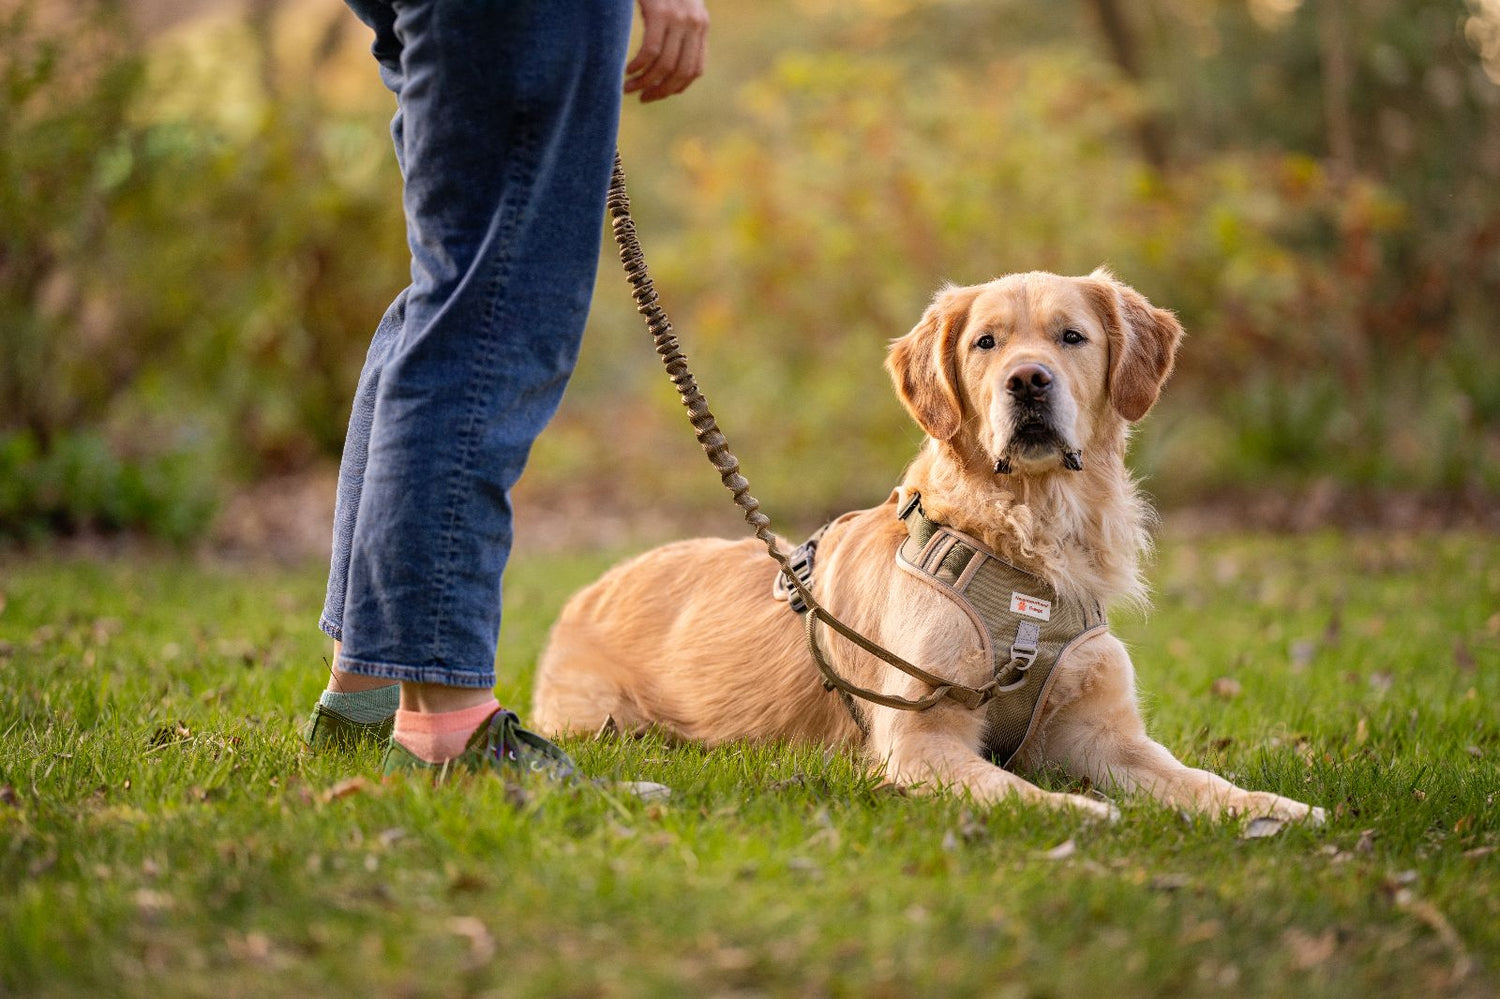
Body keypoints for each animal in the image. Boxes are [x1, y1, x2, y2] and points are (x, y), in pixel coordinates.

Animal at [531, 268, 1326, 822]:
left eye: (1071, 337)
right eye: (985, 343)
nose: (1027, 381)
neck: (1027, 547)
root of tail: (585, 592)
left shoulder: (1108, 735)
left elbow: (1201, 779)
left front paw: (1279, 809)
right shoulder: (922, 738)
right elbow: (1015, 790)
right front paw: (1083, 812)